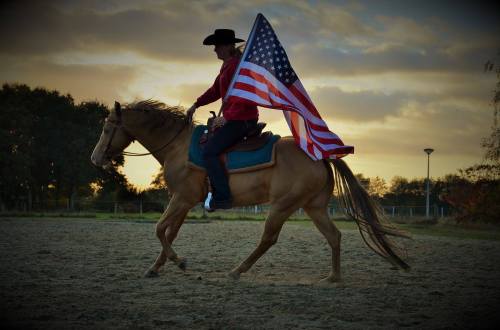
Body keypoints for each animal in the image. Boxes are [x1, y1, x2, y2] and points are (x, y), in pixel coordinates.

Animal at [91, 100, 410, 284]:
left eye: (107, 128)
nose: (96, 158)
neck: (178, 147)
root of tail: (320, 154)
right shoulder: (184, 200)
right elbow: (170, 233)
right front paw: (157, 268)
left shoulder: (181, 198)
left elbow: (159, 229)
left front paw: (179, 262)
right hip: (314, 207)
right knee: (334, 236)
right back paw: (333, 277)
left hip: (282, 206)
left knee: (268, 239)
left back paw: (237, 271)